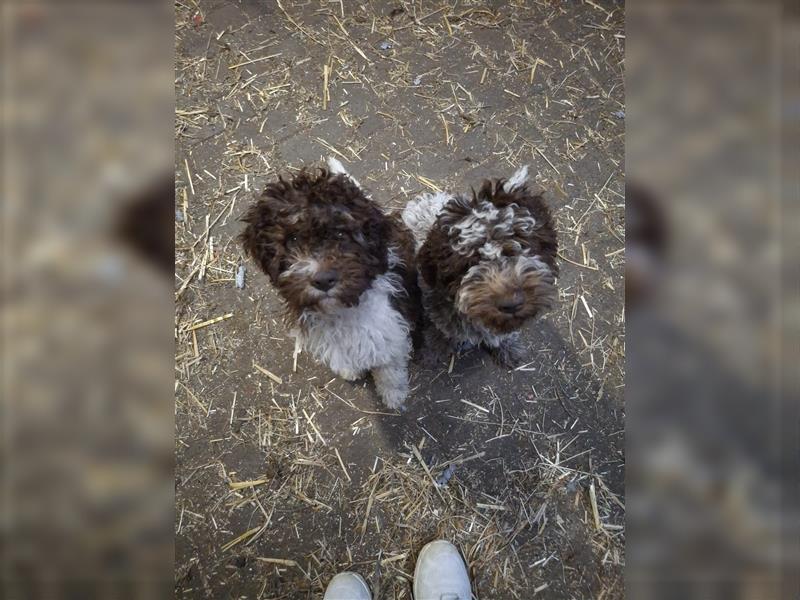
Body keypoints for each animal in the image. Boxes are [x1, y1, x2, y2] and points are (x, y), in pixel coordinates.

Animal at [241, 159, 418, 408]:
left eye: (342, 234)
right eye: (293, 239)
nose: (323, 280)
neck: (341, 310)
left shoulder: (389, 325)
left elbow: (389, 366)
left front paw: (393, 394)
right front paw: (349, 370)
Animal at [404, 166, 560, 368]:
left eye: (521, 245)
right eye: (469, 262)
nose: (512, 303)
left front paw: (509, 349)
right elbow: (438, 333)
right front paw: (432, 353)